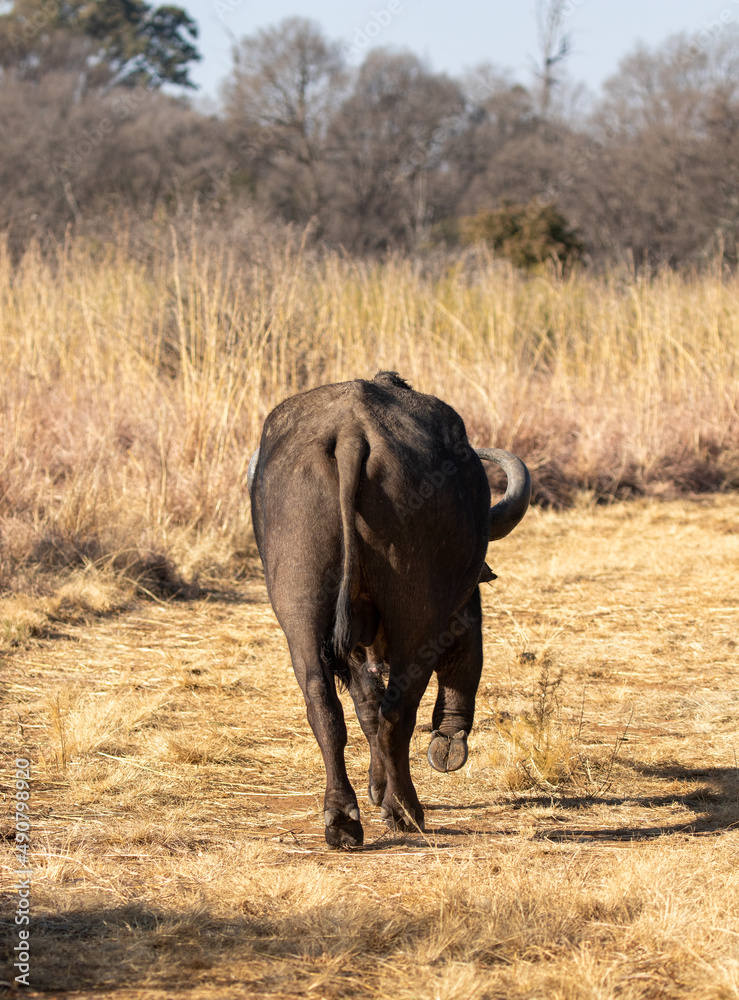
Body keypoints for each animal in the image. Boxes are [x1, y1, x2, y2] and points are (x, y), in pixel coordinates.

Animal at [248, 372, 530, 848]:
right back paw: (406, 809)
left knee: (324, 705)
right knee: (397, 710)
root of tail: (350, 434)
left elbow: (363, 708)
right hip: (415, 617)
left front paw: (375, 788)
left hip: (299, 610)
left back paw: (342, 818)